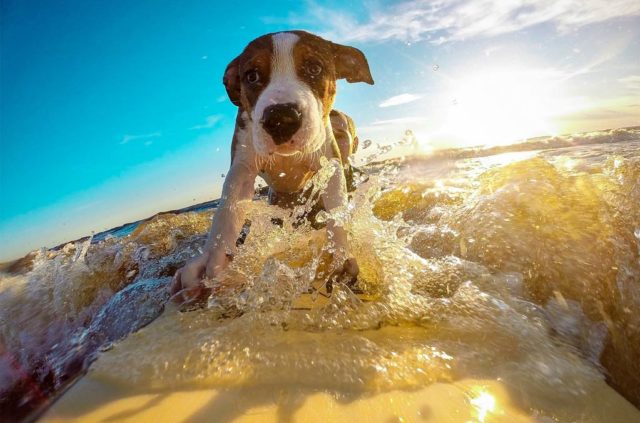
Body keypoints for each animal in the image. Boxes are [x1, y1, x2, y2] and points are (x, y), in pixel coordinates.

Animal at [171, 30, 376, 308]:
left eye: (314, 68)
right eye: (252, 76)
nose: (281, 118)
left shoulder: (330, 162)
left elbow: (336, 211)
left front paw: (339, 257)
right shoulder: (242, 166)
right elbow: (227, 210)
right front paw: (213, 261)